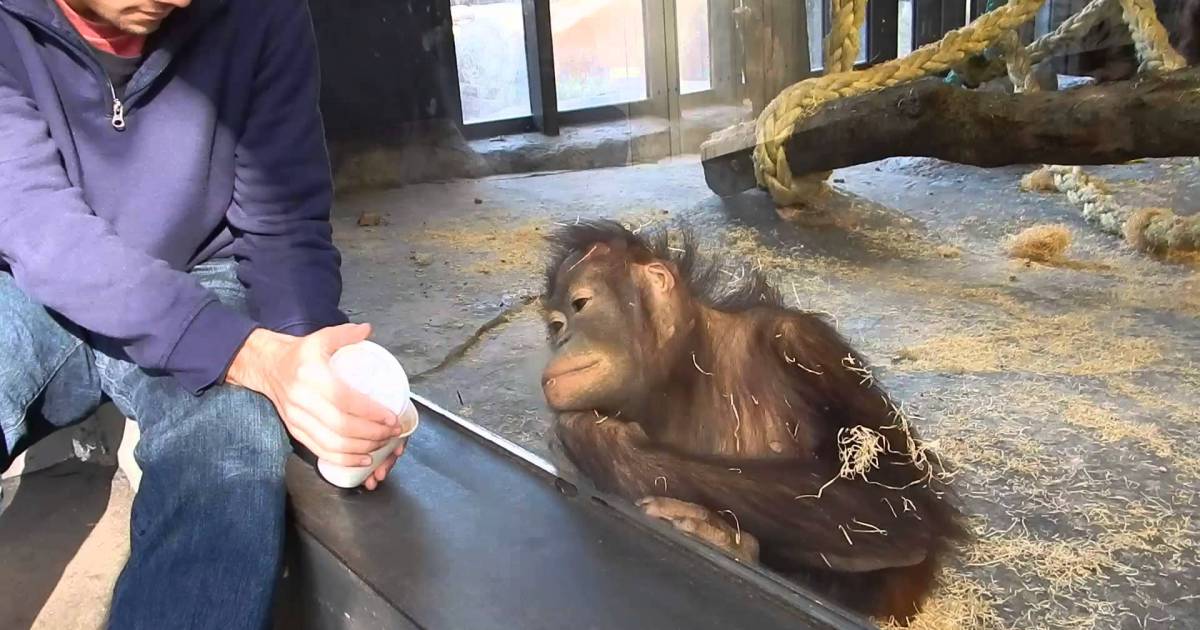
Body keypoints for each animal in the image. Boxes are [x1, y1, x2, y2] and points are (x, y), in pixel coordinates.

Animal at [537, 220, 970, 624]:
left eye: (580, 304)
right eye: (556, 325)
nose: (562, 339)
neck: (687, 368)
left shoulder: (806, 345)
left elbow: (898, 502)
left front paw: (599, 439)